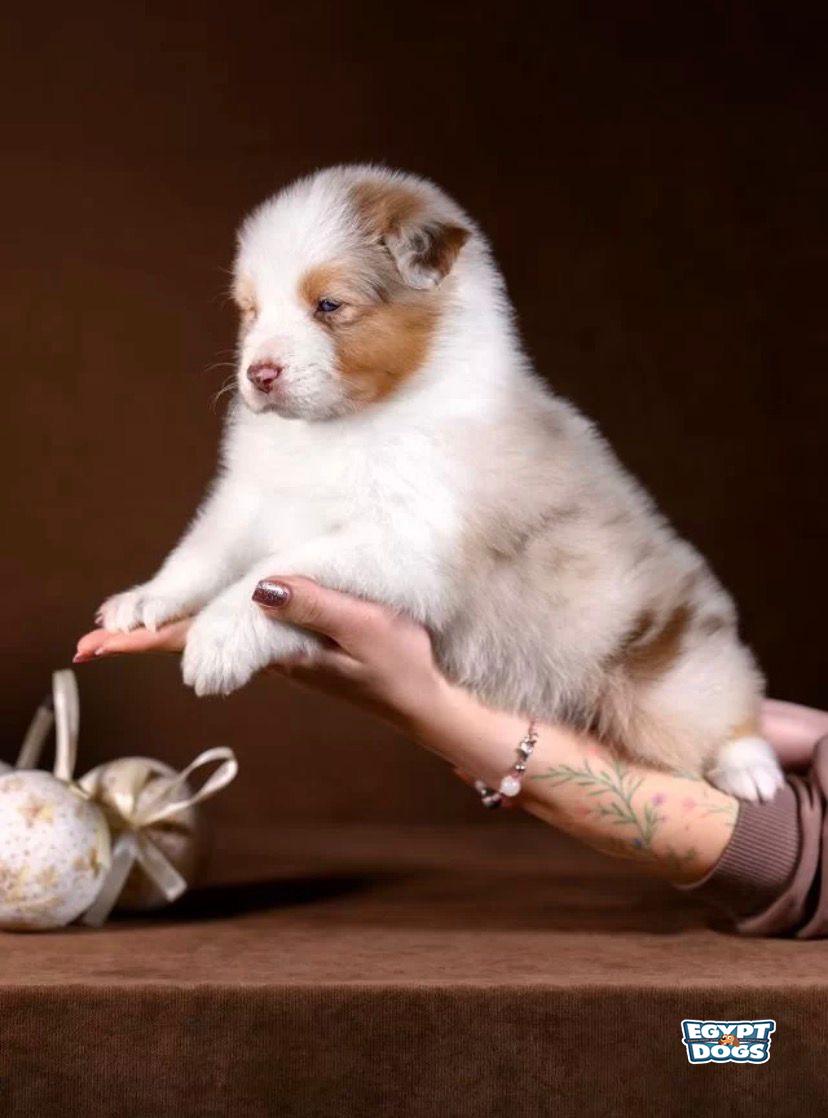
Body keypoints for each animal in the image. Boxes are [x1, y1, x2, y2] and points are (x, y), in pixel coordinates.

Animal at [97, 164, 783, 801]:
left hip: (665, 679)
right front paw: (146, 597)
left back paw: (751, 768)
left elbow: (278, 570)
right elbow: (204, 551)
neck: (345, 425)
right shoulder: (250, 497)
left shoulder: (409, 542)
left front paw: (218, 637)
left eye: (329, 305)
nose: (258, 373)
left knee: (727, 699)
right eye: (250, 310)